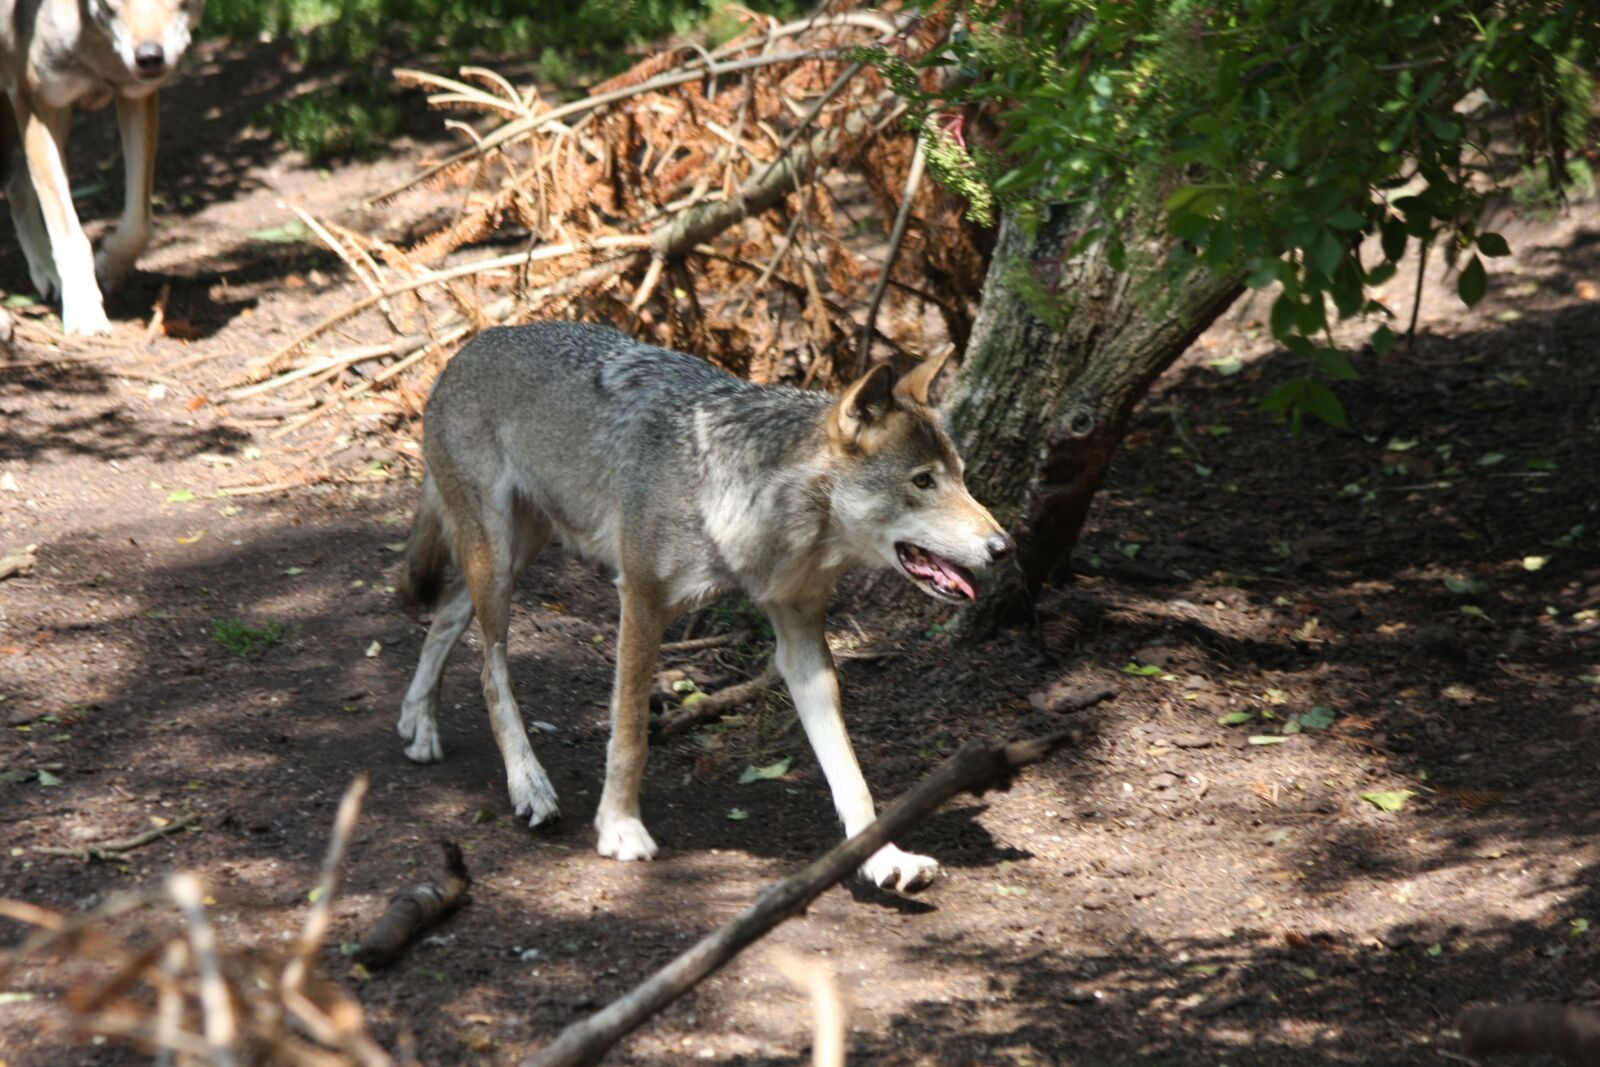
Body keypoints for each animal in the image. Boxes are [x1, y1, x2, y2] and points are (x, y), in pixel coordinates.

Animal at [0, 0, 206, 335]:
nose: (149, 57)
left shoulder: (136, 97)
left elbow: (139, 224)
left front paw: (108, 264)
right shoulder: (31, 103)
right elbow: (69, 235)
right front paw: (84, 312)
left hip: (61, 123)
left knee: (18, 188)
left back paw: (46, 273)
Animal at [395, 323, 1012, 892]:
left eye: (961, 478)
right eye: (923, 482)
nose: (1004, 547)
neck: (762, 512)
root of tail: (473, 344)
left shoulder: (802, 639)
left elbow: (851, 774)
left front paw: (883, 859)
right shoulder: (640, 601)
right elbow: (630, 734)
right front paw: (619, 827)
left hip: (519, 551)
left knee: (446, 612)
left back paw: (418, 722)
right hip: (499, 560)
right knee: (488, 667)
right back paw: (528, 784)